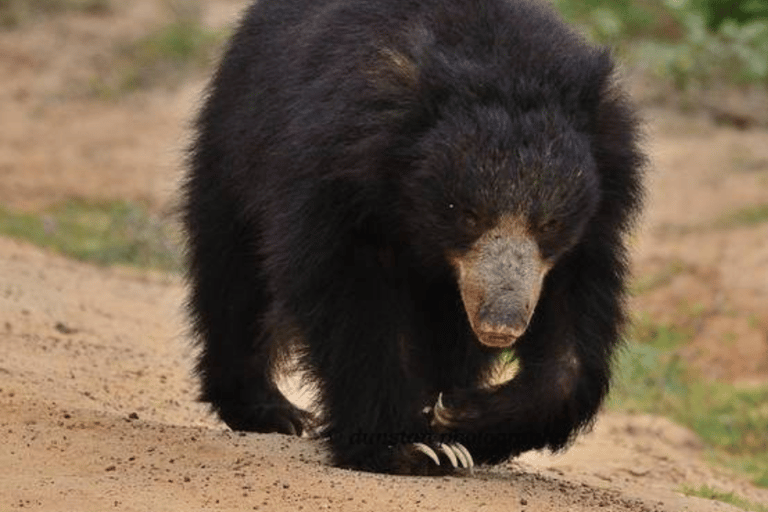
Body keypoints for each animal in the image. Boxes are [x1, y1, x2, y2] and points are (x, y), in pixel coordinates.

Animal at [183, 0, 644, 476]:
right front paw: (409, 447)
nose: (501, 324)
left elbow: (572, 344)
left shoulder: (589, 230)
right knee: (237, 277)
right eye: (469, 216)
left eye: (549, 223)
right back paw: (271, 411)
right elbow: (352, 303)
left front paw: (457, 419)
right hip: (238, 145)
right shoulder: (340, 182)